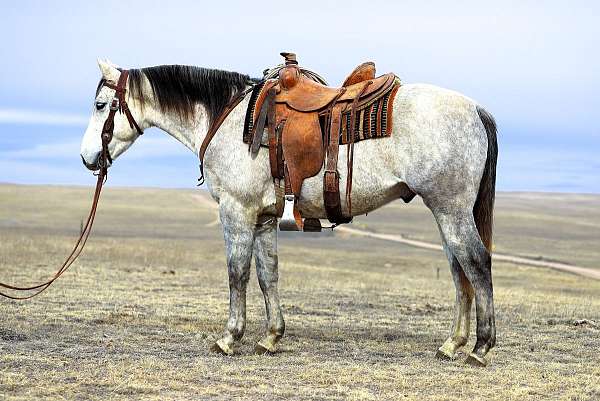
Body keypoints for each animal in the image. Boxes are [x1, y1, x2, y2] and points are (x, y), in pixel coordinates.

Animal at [82, 58, 500, 366]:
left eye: (101, 105)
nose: (88, 158)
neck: (228, 120)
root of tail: (476, 110)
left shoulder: (236, 211)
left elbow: (237, 273)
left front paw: (229, 337)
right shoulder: (265, 218)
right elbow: (268, 275)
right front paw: (271, 337)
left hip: (451, 211)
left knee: (477, 263)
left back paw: (480, 348)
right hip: (445, 214)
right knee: (459, 271)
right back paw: (452, 344)